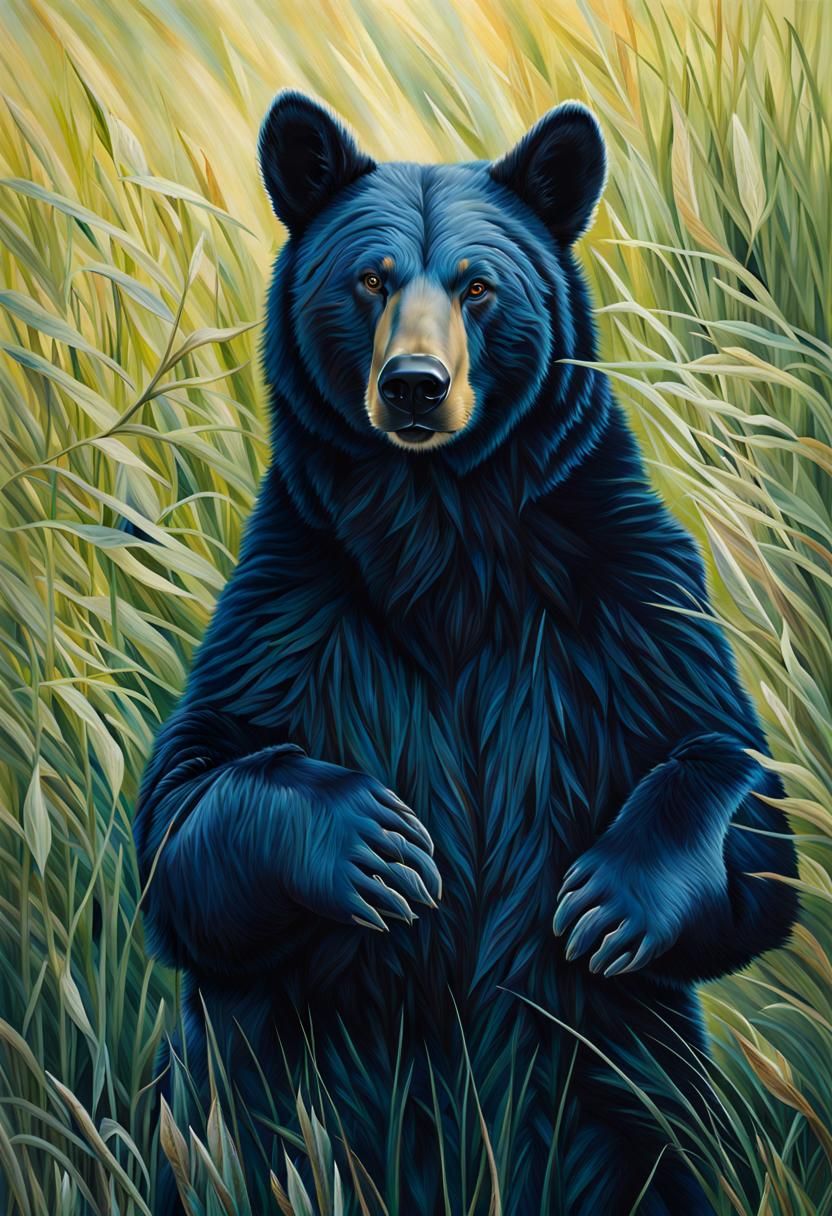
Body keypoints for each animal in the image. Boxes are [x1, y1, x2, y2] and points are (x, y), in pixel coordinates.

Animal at [135, 92, 798, 1215]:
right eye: (370, 277)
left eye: (479, 285)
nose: (415, 385)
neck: (444, 531)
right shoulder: (296, 604)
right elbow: (186, 814)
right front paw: (377, 848)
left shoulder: (621, 591)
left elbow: (737, 790)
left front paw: (606, 902)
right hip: (271, 1093)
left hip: (623, 1101)